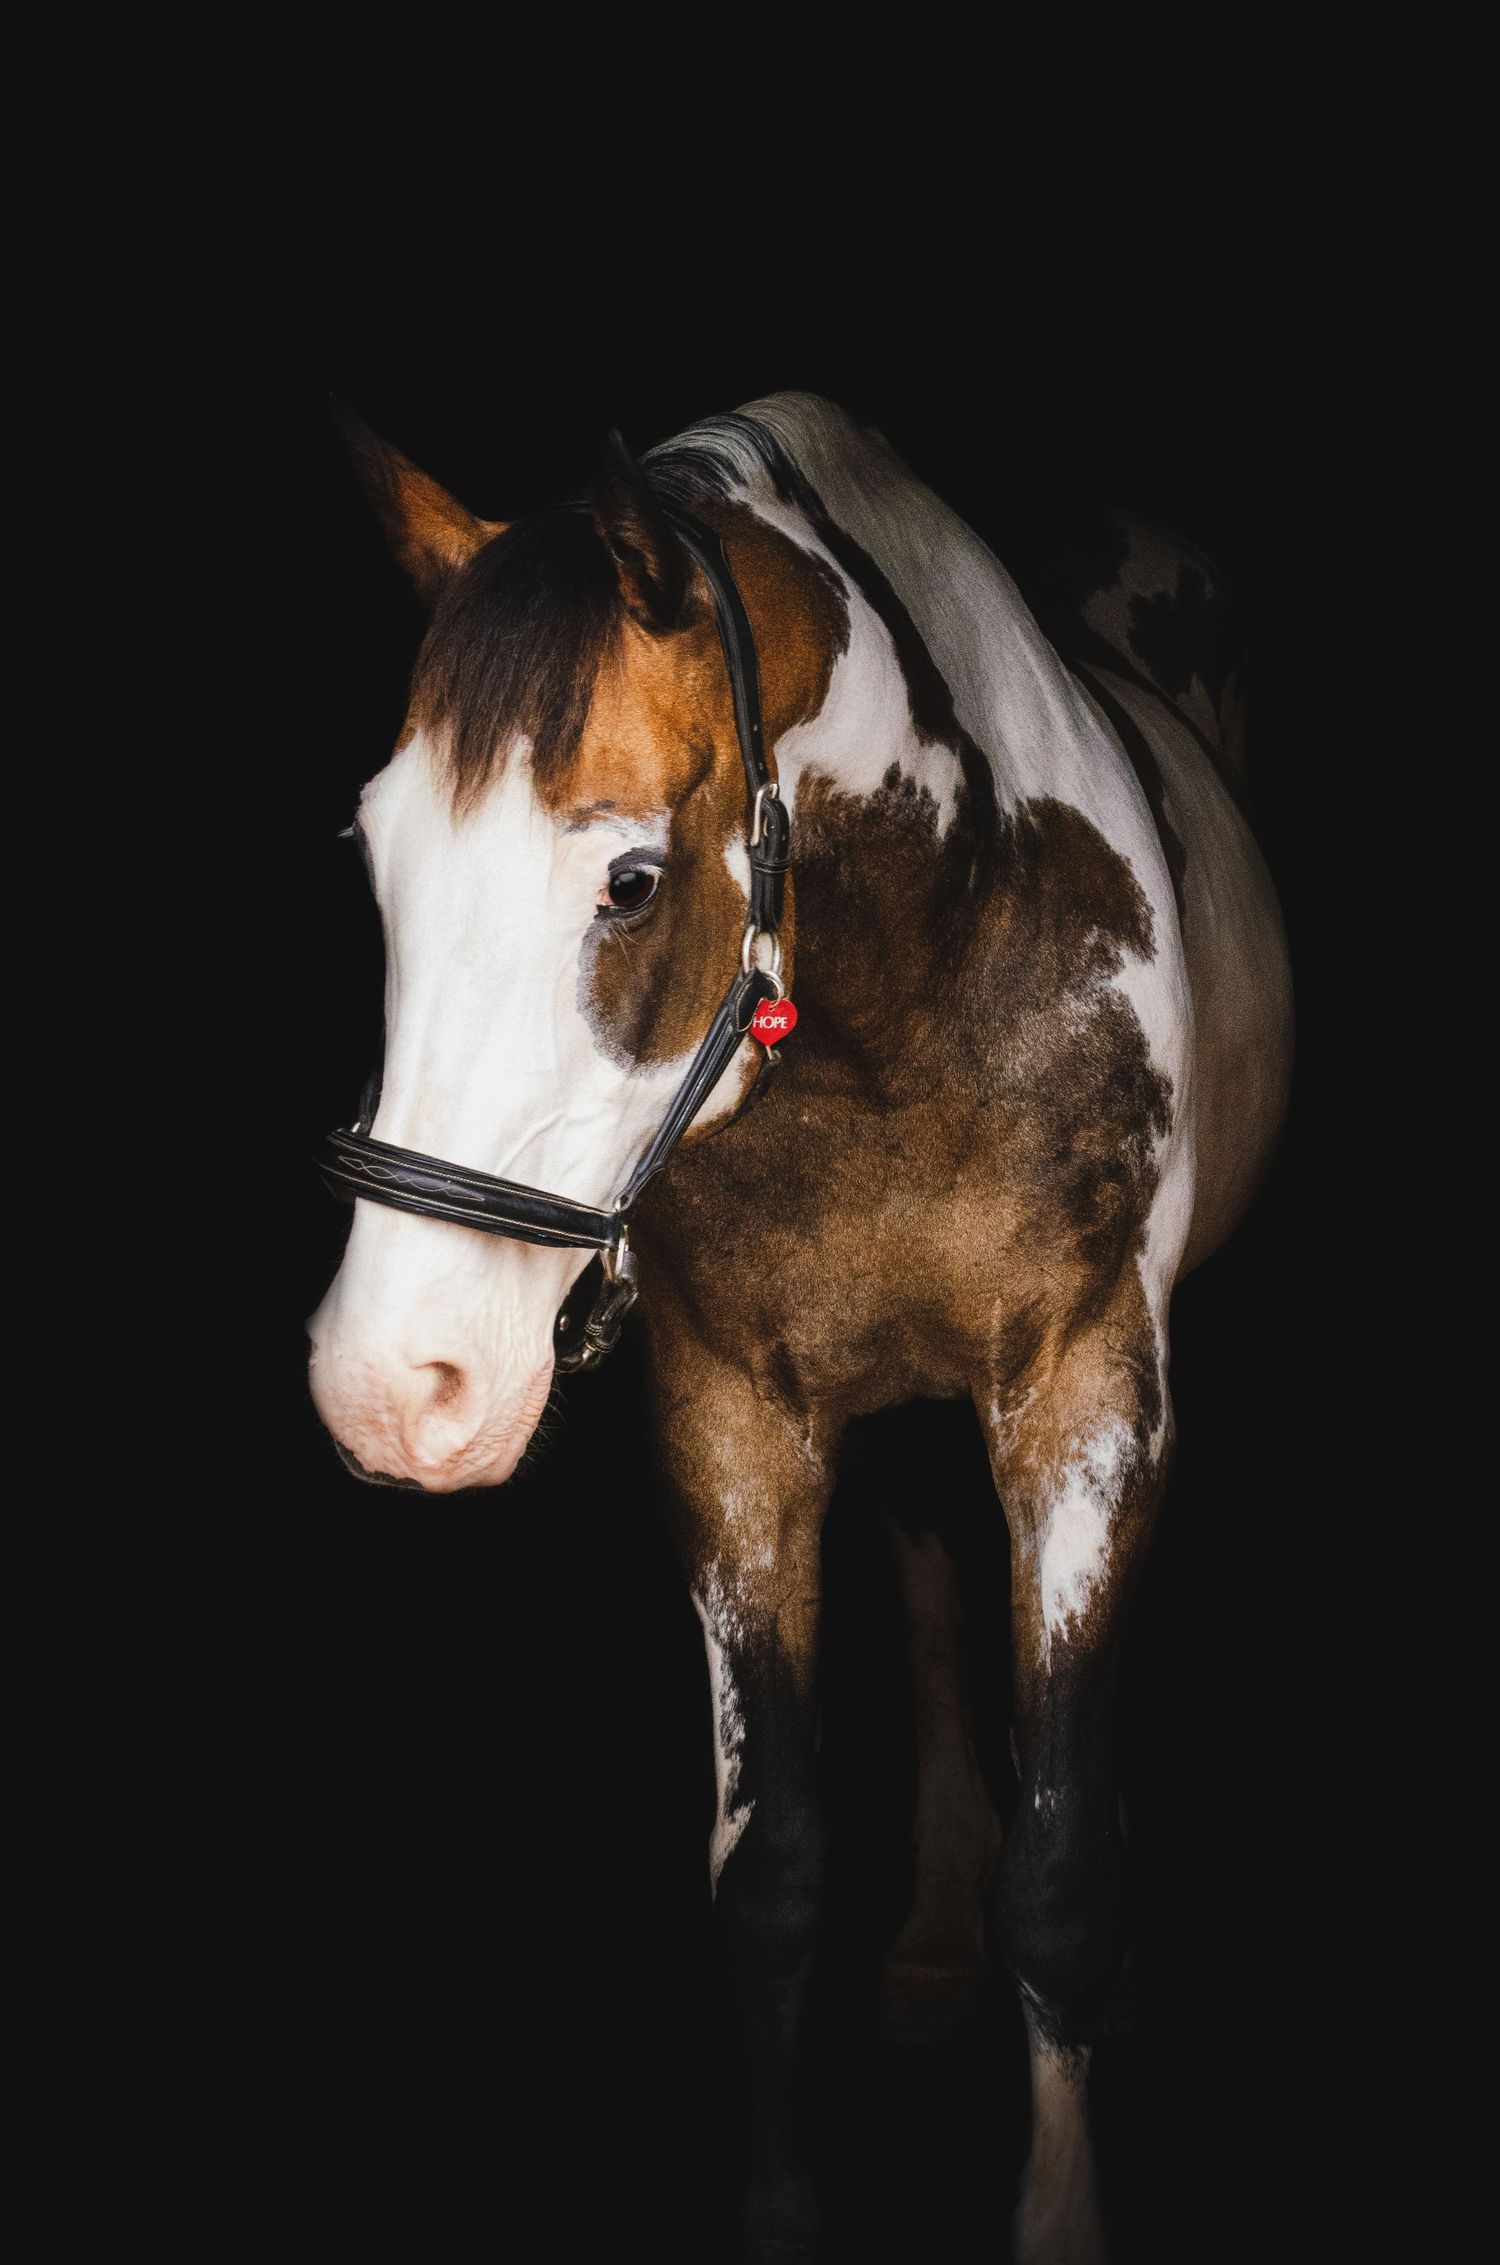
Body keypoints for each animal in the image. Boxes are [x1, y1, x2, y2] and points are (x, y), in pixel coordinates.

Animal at [307, 389, 1292, 2263]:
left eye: (628, 880)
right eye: (376, 856)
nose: (392, 1386)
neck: (912, 995)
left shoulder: (1091, 1400)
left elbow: (1064, 1884)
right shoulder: (732, 1427)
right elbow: (768, 1876)